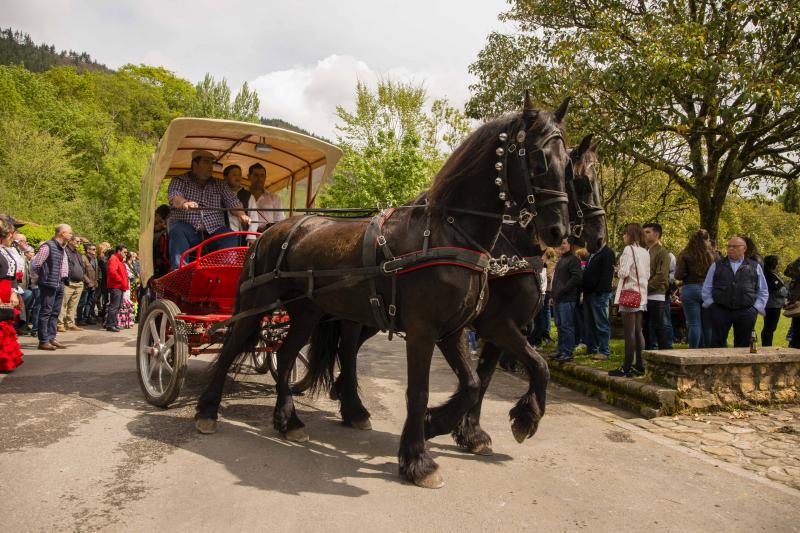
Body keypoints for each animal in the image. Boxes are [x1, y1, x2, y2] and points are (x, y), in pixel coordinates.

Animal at [194, 93, 572, 489]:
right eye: (539, 159)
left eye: (569, 162)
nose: (558, 231)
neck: (449, 233)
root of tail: (272, 231)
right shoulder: (426, 331)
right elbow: (419, 391)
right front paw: (418, 459)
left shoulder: (457, 329)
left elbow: (479, 382)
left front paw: (457, 424)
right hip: (258, 304)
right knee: (233, 347)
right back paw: (208, 411)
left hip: (310, 313)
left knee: (287, 356)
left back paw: (290, 420)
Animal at [302, 134, 607, 456]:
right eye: (582, 184)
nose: (600, 238)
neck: (509, 251)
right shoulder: (496, 325)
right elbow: (537, 366)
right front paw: (518, 419)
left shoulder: (496, 331)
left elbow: (483, 378)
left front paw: (468, 431)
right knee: (347, 349)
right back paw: (353, 406)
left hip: (375, 314)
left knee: (347, 348)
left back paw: (344, 397)